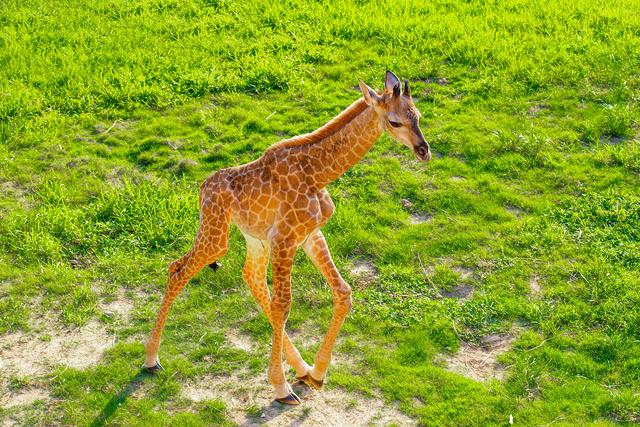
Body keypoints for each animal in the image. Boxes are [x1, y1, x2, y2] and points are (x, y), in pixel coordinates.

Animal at [143, 69, 432, 404]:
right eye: (395, 121)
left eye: (418, 115)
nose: (424, 151)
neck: (317, 174)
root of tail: (202, 188)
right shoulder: (285, 238)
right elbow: (283, 304)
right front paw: (280, 386)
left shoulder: (307, 234)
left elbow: (343, 292)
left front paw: (316, 374)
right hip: (217, 235)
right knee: (178, 270)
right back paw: (151, 358)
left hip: (253, 238)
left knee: (249, 276)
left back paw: (302, 368)